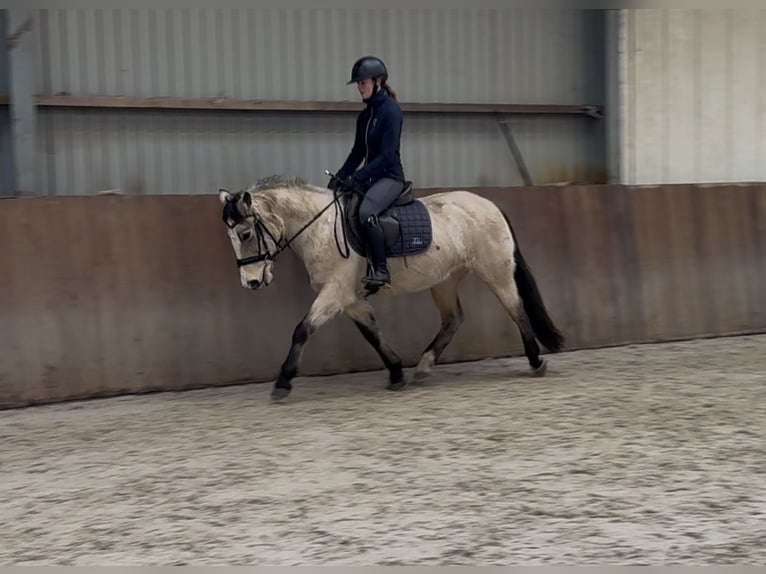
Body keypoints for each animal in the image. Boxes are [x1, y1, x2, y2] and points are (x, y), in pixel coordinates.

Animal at [218, 174, 564, 401]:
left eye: (246, 234)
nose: (251, 282)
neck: (320, 228)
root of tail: (490, 205)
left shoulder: (334, 292)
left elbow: (302, 330)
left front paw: (283, 382)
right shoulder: (348, 298)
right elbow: (372, 334)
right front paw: (397, 373)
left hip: (495, 271)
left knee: (516, 309)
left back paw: (536, 362)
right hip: (444, 280)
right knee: (453, 319)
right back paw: (423, 367)